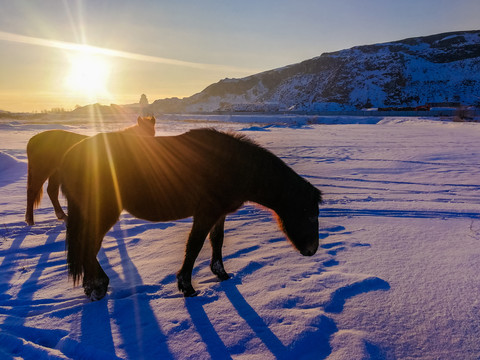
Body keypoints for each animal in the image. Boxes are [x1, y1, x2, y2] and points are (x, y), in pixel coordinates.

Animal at [24, 116, 156, 225]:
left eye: (153, 133)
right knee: (32, 191)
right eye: (142, 133)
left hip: (55, 173)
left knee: (52, 191)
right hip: (42, 170)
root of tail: (32, 140)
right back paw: (30, 220)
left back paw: (63, 216)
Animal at [60, 128, 322, 300]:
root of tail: (69, 156)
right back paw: (98, 286)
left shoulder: (219, 214)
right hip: (104, 212)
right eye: (310, 215)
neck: (234, 165)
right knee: (89, 246)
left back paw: (92, 287)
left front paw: (221, 274)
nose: (312, 250)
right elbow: (194, 246)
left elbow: (217, 241)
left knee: (87, 248)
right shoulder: (205, 213)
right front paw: (187, 286)